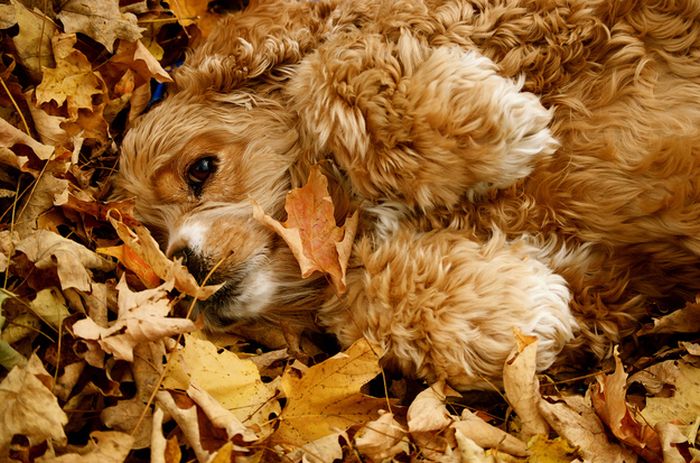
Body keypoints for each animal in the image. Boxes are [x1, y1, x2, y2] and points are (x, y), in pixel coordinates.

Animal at [112, 0, 700, 392]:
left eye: (200, 169)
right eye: (156, 240)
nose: (182, 265)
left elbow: (326, 68)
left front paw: (496, 123)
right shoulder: (614, 282)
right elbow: (361, 303)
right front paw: (506, 313)